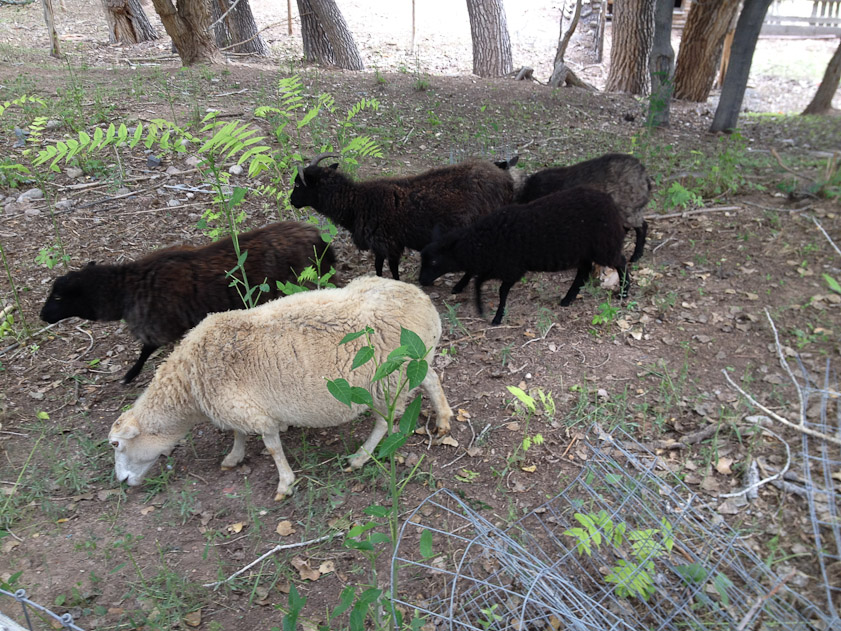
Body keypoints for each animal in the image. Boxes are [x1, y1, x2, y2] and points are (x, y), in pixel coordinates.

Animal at [40, 221, 335, 384]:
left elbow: (146, 350)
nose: (43, 316)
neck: (126, 288)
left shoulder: (161, 326)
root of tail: (316, 236)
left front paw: (129, 375)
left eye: (58, 296)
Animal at [107, 275, 454, 501]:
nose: (121, 481)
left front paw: (285, 484)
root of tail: (423, 302)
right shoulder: (241, 409)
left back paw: (360, 457)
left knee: (385, 421)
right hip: (412, 364)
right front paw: (234, 457)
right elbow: (239, 434)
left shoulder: (250, 412)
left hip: (385, 383)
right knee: (431, 378)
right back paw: (443, 420)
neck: (190, 383)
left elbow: (271, 445)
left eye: (116, 444)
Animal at [289, 153, 515, 280]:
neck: (356, 202)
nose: (291, 201)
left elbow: (392, 268)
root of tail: (505, 180)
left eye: (298, 184)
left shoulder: (389, 242)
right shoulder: (381, 244)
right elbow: (378, 266)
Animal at [419, 187, 630, 325]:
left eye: (435, 261)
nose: (421, 281)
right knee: (584, 272)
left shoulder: (512, 268)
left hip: (603, 246)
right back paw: (567, 299)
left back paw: (624, 292)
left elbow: (499, 290)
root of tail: (610, 202)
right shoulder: (495, 267)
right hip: (586, 251)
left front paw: (494, 316)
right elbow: (477, 280)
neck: (481, 241)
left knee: (622, 262)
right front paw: (475, 302)